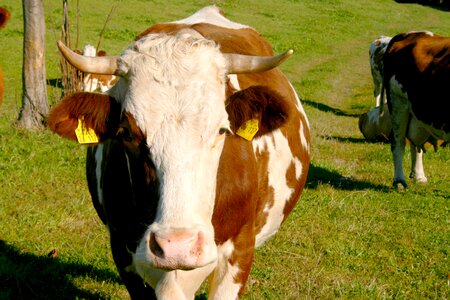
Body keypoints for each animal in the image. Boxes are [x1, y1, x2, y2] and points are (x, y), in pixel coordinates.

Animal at [384, 31, 450, 189]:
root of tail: (408, 34)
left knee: (416, 144)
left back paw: (419, 176)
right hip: (398, 104)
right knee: (398, 143)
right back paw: (399, 181)